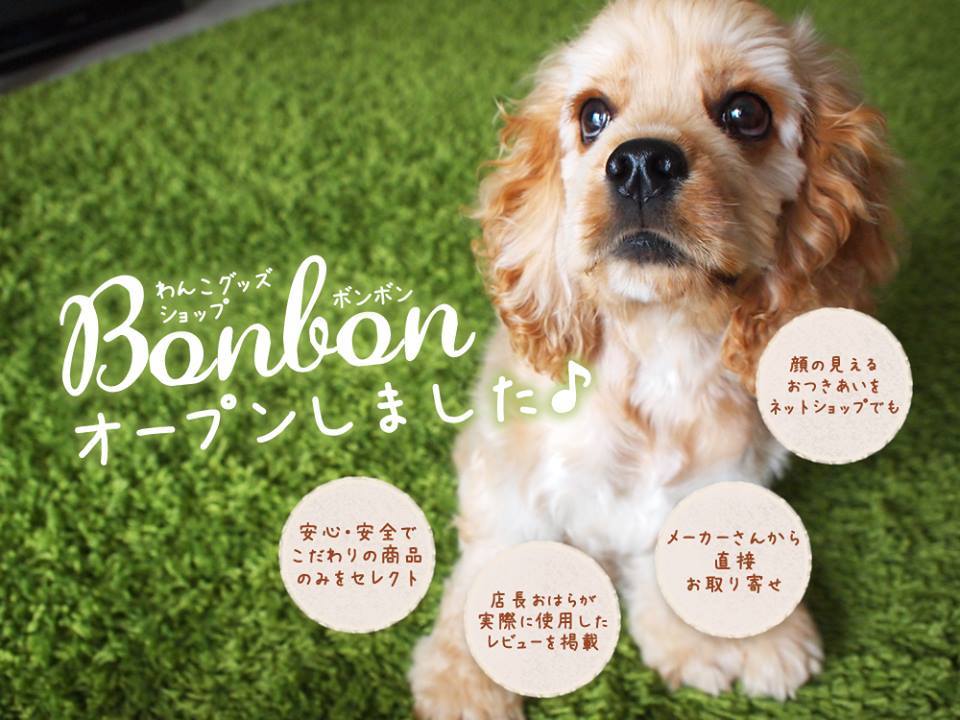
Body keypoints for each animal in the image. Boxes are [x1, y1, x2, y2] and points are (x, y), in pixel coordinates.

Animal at [409, 0, 896, 716]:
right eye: (593, 115)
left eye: (746, 112)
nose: (641, 161)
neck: (657, 341)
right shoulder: (508, 468)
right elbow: (502, 548)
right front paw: (462, 683)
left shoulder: (723, 466)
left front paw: (744, 633)